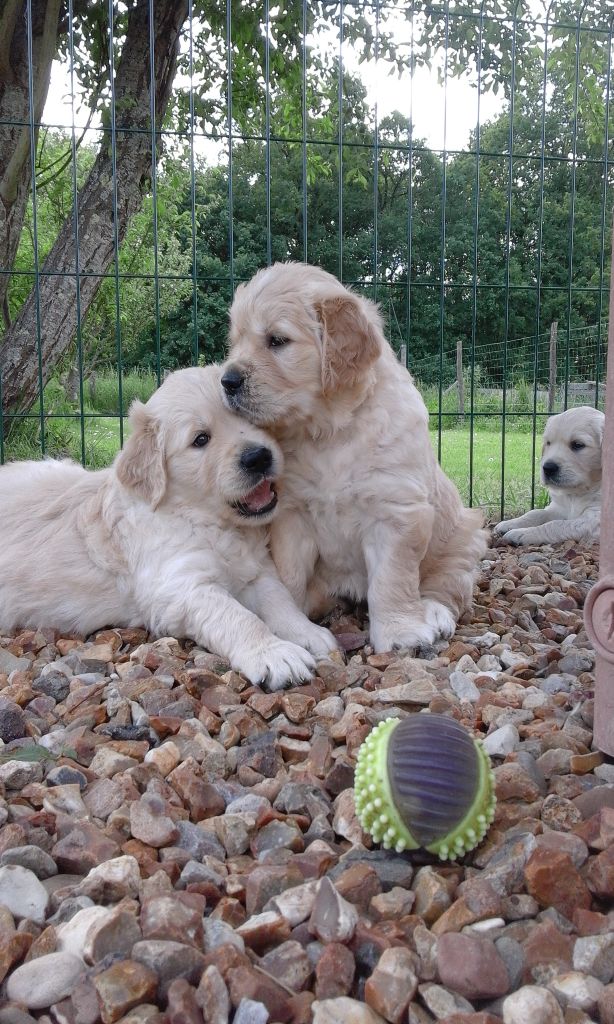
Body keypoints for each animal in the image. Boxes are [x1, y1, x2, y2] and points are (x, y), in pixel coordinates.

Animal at [0, 364, 337, 692]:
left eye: (249, 419)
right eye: (200, 439)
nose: (259, 457)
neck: (204, 519)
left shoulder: (256, 569)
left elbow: (279, 599)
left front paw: (308, 633)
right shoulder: (179, 588)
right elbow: (236, 615)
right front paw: (274, 654)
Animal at [223, 260, 487, 651]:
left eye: (277, 340)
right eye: (235, 342)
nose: (226, 381)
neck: (328, 434)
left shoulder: (396, 513)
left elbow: (391, 580)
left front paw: (400, 631)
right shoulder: (291, 515)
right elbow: (289, 575)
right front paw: (295, 620)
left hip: (464, 535)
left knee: (449, 584)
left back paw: (435, 613)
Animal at [493, 403, 605, 548]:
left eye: (578, 444)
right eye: (548, 443)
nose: (547, 468)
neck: (578, 492)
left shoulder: (595, 521)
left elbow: (556, 525)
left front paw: (522, 533)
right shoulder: (559, 507)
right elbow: (536, 513)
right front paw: (510, 523)